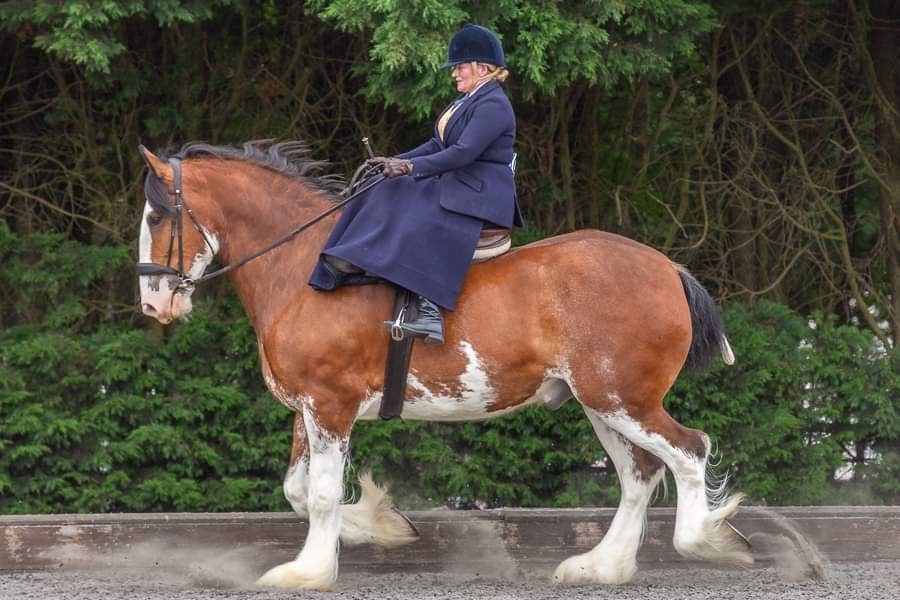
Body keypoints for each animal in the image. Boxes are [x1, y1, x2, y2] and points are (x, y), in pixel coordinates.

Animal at [135, 139, 752, 592]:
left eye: (159, 215)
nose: (153, 305)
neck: (303, 267)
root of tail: (667, 267)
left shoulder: (330, 404)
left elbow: (320, 493)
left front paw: (308, 571)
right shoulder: (307, 409)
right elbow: (296, 489)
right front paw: (379, 526)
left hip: (624, 399)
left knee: (689, 451)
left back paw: (704, 541)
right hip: (602, 404)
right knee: (639, 474)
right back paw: (602, 566)